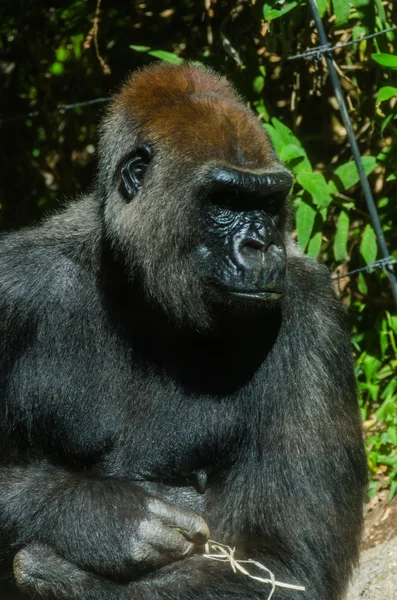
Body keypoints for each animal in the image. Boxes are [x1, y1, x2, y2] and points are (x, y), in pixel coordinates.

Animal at [0, 63, 366, 596]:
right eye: (225, 199)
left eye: (269, 200)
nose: (263, 246)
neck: (138, 293)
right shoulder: (13, 286)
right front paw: (100, 517)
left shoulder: (314, 315)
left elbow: (288, 562)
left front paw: (57, 563)